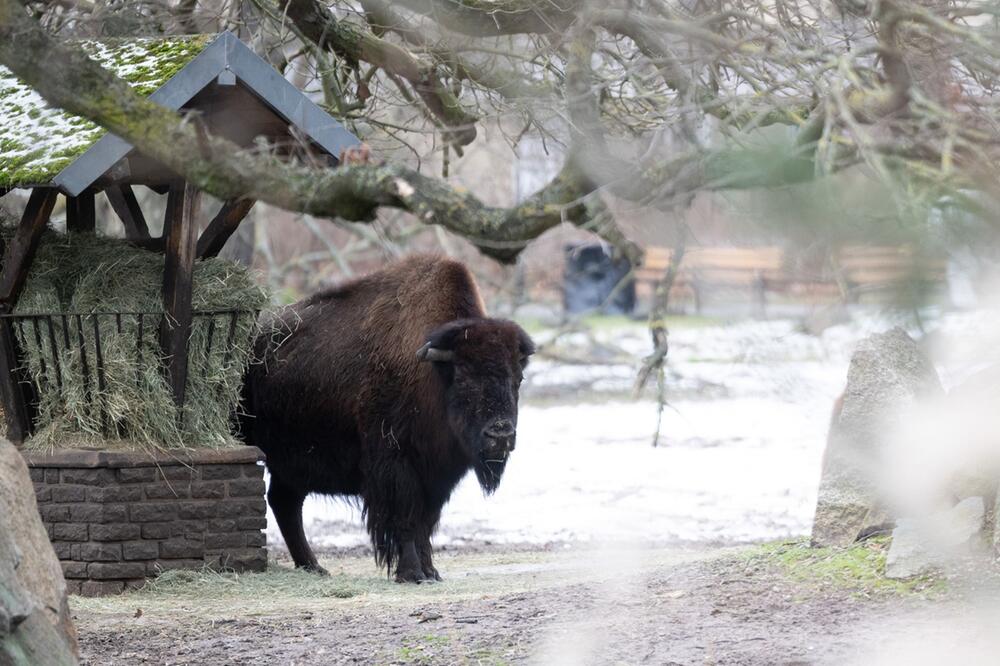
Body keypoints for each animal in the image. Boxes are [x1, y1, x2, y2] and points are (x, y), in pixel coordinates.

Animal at [242, 254, 536, 580]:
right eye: (463, 377)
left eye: (518, 378)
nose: (500, 435)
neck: (434, 375)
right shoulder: (396, 466)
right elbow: (405, 519)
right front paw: (412, 573)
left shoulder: (437, 476)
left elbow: (425, 523)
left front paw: (431, 571)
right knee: (283, 503)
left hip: (291, 465)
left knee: (285, 503)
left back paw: (314, 567)